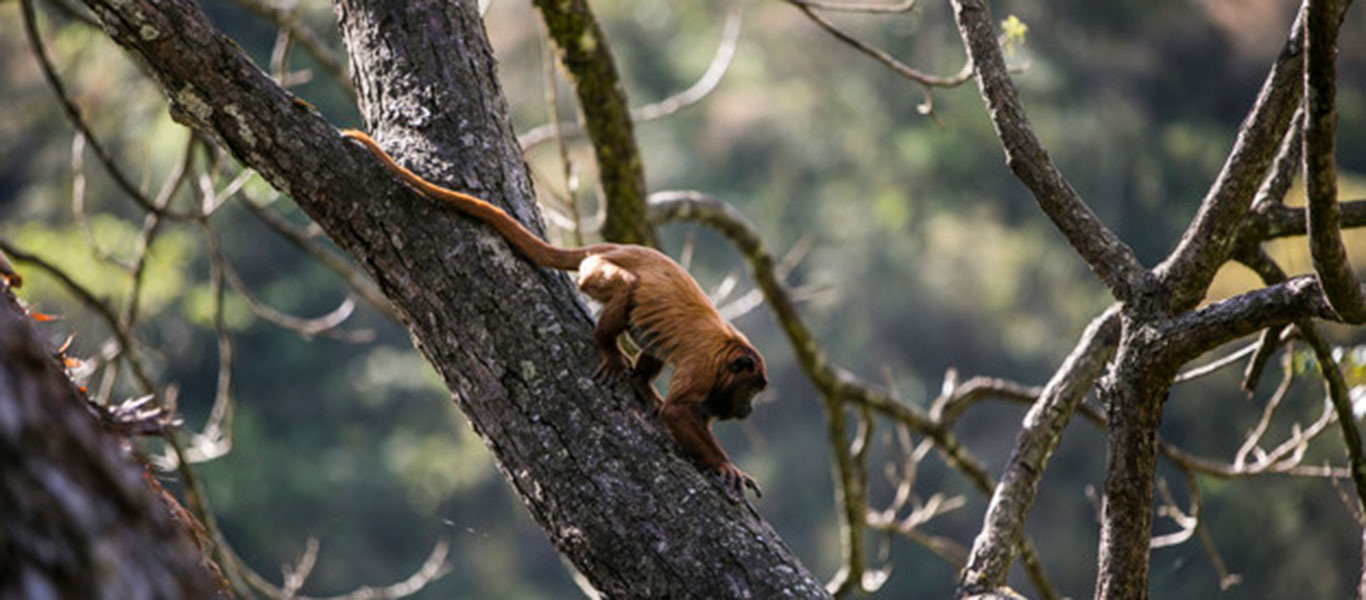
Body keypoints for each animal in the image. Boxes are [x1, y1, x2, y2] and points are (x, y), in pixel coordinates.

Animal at [341, 129, 766, 497]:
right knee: (625, 287)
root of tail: (617, 247)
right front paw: (726, 466)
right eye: (752, 389)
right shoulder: (704, 365)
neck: (729, 351)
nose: (748, 410)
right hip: (596, 271)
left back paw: (643, 383)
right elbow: (679, 412)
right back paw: (608, 347)